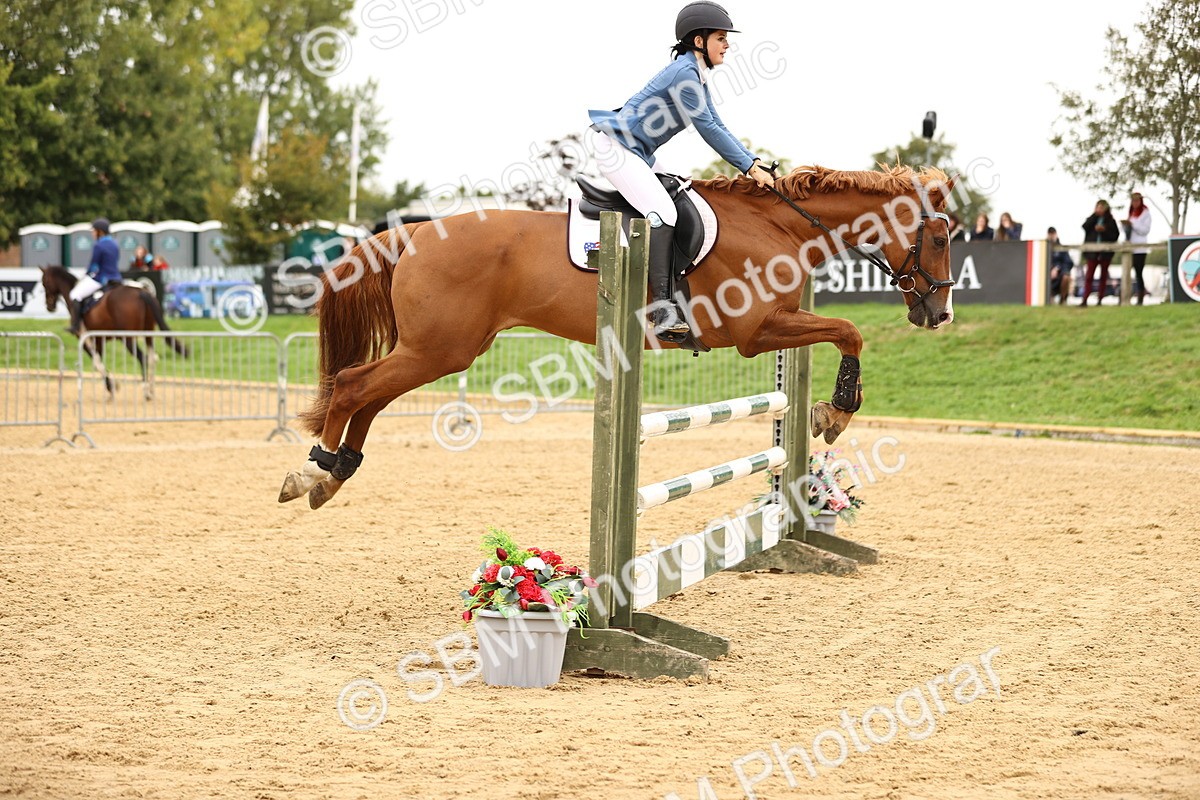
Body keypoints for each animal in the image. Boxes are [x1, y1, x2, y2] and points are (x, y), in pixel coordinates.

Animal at [40, 266, 189, 399]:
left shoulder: (85, 339)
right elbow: (98, 361)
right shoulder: (99, 339)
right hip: (148, 333)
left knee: (142, 357)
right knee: (153, 357)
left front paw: (111, 387)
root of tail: (140, 292)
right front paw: (110, 387)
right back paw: (151, 390)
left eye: (44, 282)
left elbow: (96, 362)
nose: (49, 306)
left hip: (128, 338)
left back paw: (145, 390)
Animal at [278, 165, 958, 509]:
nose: (939, 313)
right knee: (352, 385)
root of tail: (417, 232)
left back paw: (336, 472)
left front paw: (827, 412)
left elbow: (842, 334)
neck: (778, 226)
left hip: (436, 350)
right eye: (941, 237)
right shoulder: (756, 331)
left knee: (369, 394)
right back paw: (312, 473)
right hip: (439, 349)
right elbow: (850, 331)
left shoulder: (775, 327)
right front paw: (835, 413)